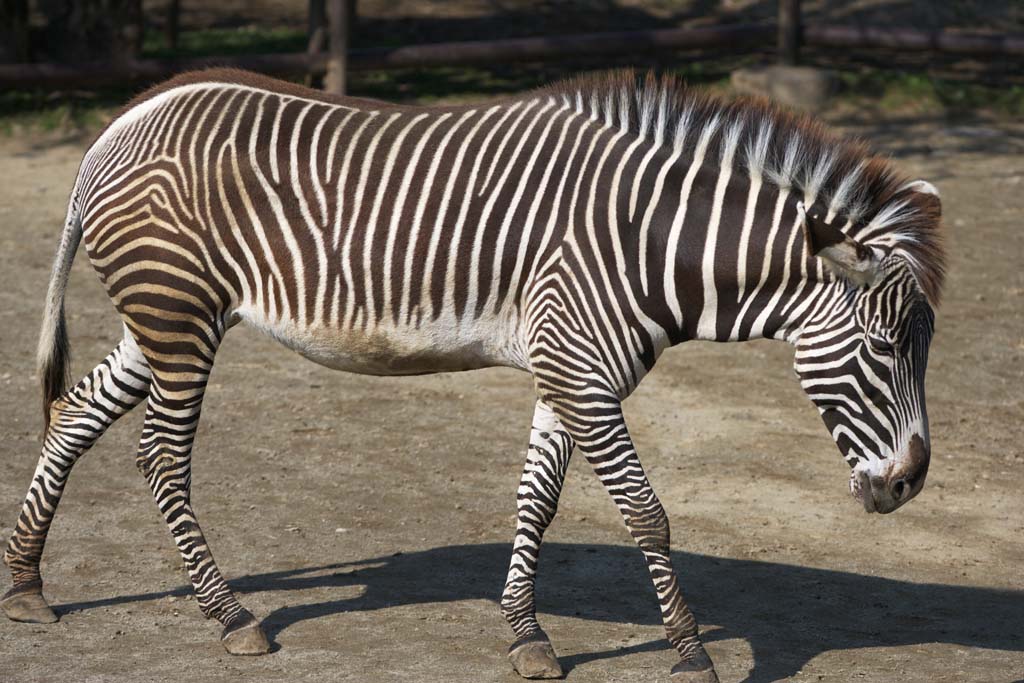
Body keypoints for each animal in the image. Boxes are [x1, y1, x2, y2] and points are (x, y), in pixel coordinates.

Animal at [2, 70, 942, 683]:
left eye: (921, 350)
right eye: (883, 348)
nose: (909, 484)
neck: (648, 240)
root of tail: (125, 119)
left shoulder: (566, 370)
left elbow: (539, 500)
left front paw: (526, 635)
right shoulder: (585, 373)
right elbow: (647, 511)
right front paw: (691, 652)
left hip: (163, 318)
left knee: (75, 412)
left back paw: (26, 584)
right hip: (178, 315)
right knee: (160, 456)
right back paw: (229, 616)